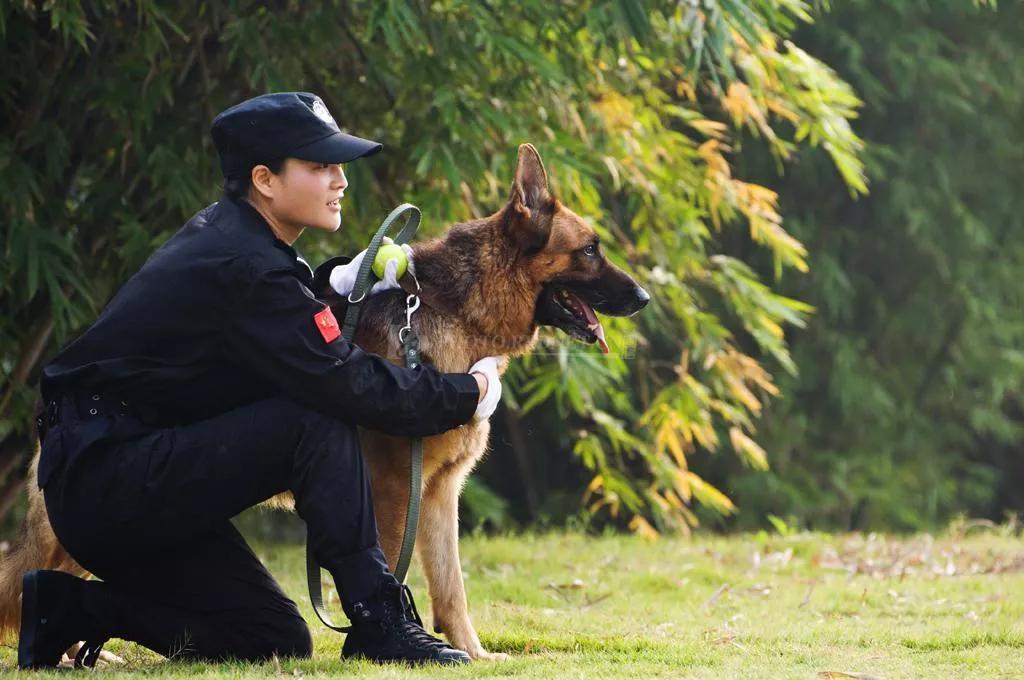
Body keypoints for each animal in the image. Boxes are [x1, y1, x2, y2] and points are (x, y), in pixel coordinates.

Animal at [0, 143, 647, 659]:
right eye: (590, 250)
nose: (643, 297)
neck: (458, 310)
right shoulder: (395, 489)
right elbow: (390, 570)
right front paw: (383, 646)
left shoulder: (440, 493)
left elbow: (453, 589)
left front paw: (476, 655)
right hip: (90, 526)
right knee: (26, 580)